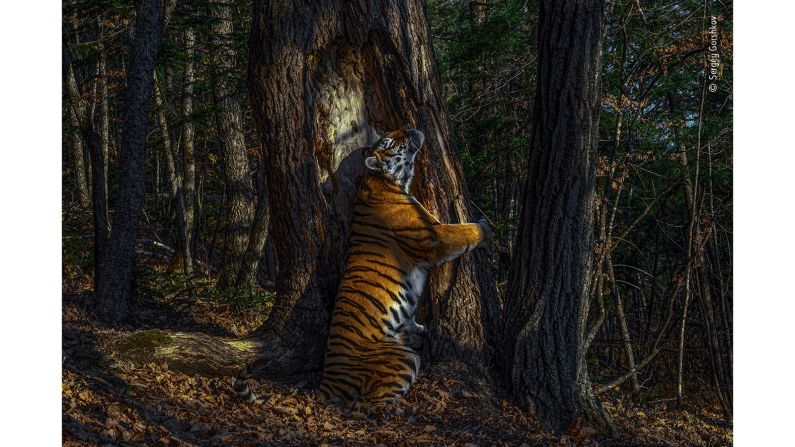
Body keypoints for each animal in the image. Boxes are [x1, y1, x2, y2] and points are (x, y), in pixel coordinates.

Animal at [233, 125, 492, 410]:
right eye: (390, 142)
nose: (410, 126)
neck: (385, 181)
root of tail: (326, 383)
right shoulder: (433, 236)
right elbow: (464, 231)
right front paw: (486, 228)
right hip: (403, 359)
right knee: (367, 404)